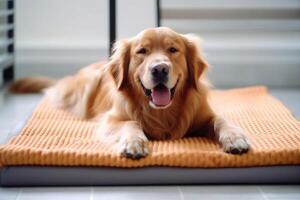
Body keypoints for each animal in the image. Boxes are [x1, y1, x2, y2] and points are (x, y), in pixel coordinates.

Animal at [10, 27, 250, 160]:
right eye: (141, 51)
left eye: (173, 50)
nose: (159, 69)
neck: (162, 113)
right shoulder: (112, 119)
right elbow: (131, 123)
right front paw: (134, 144)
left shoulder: (204, 115)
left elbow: (221, 120)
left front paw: (236, 139)